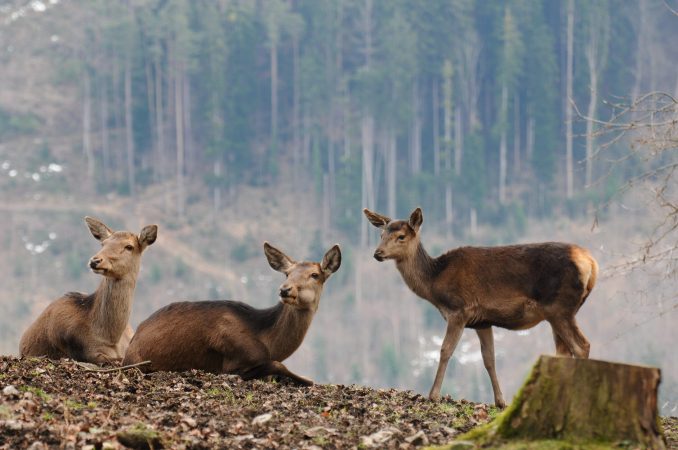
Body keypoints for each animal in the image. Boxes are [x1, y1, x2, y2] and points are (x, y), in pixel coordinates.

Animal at [122, 241, 342, 384]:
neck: (267, 341)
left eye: (315, 274)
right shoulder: (234, 359)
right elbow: (285, 368)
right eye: (287, 273)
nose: (285, 289)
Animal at [364, 207, 596, 408]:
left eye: (401, 236)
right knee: (563, 352)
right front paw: (500, 401)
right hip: (559, 311)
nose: (377, 253)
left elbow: (446, 350)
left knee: (581, 345)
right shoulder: (482, 321)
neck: (435, 284)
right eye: (381, 234)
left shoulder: (459, 310)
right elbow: (489, 359)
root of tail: (591, 263)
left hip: (560, 307)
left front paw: (433, 395)